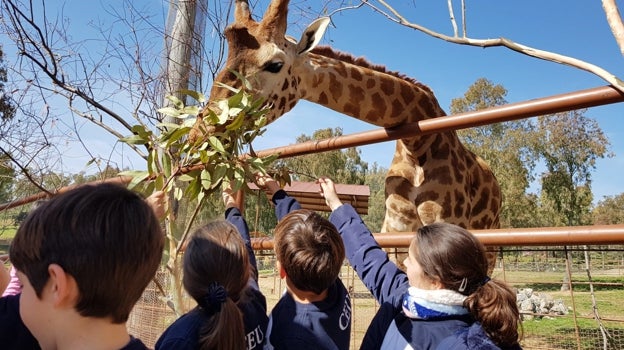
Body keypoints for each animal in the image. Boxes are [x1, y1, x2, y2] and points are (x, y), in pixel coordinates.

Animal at [200, 0, 502, 268]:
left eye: (274, 65)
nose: (200, 133)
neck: (418, 143)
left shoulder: (446, 223)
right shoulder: (397, 231)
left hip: (488, 245)